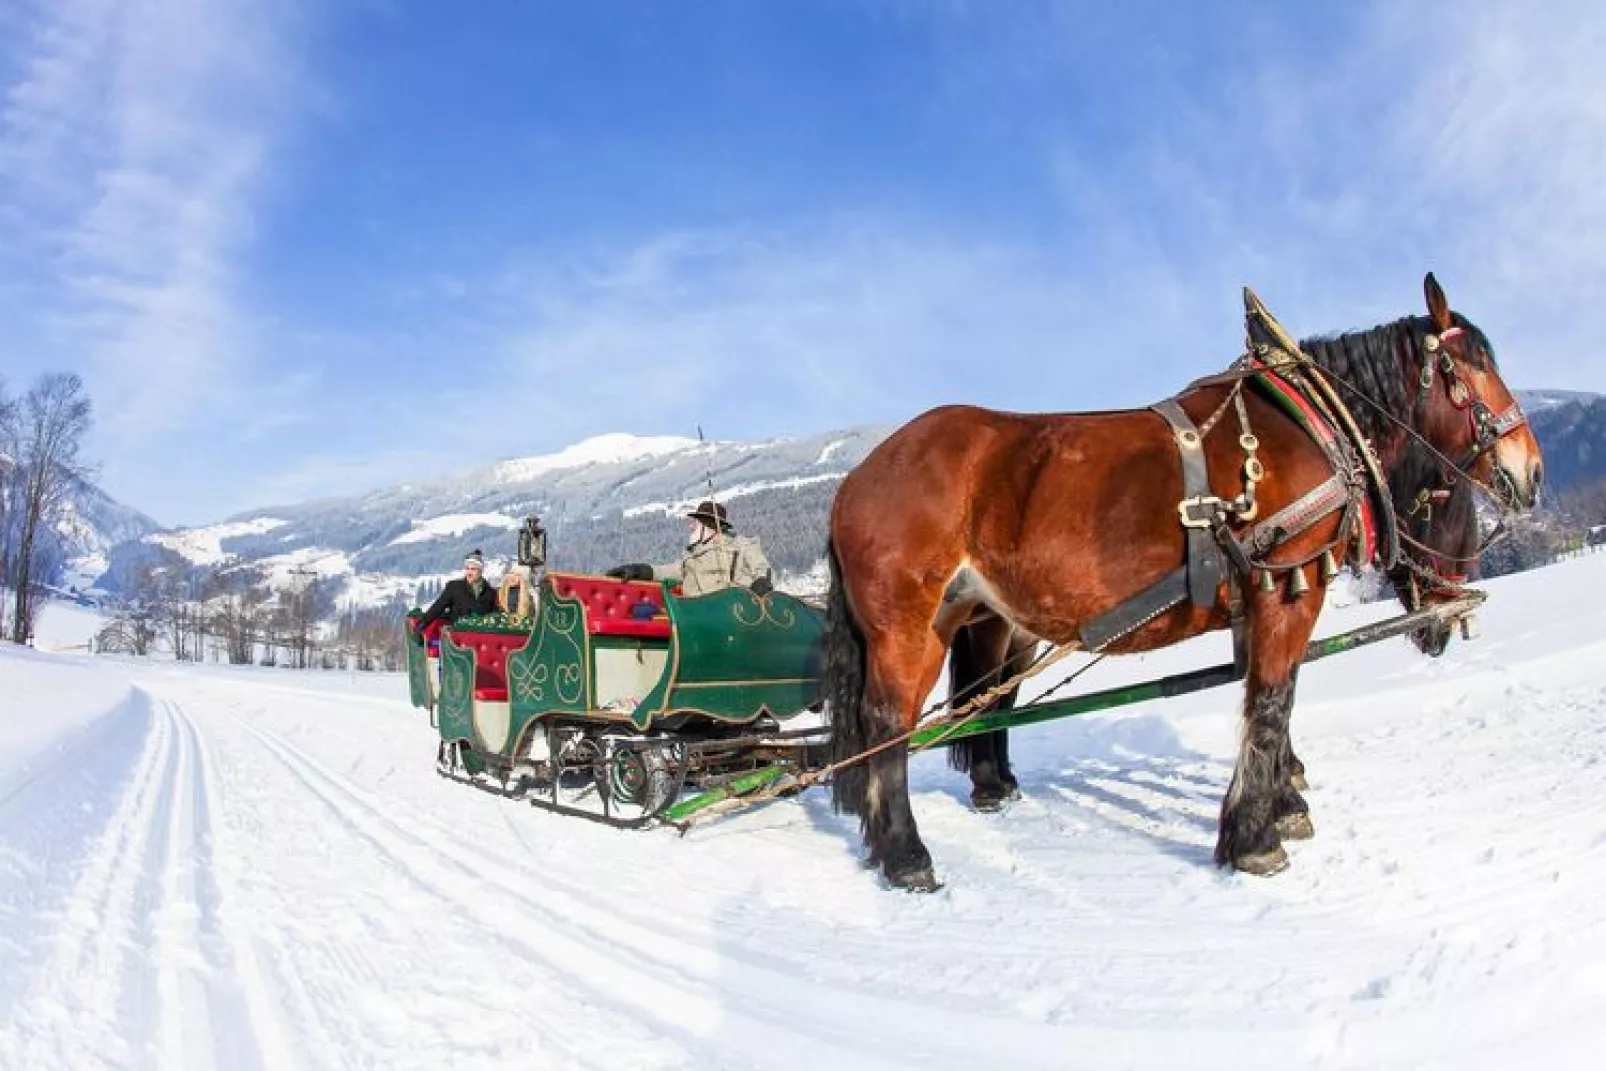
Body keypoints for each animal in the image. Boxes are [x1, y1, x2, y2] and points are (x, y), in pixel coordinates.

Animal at [828, 274, 1541, 886]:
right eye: (1474, 367)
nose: (1530, 471)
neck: (1310, 423)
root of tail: (857, 478)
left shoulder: (1263, 594)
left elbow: (1266, 698)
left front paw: (1282, 802)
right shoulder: (1288, 585)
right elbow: (1272, 702)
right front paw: (1255, 839)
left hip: (971, 619)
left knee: (969, 706)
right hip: (908, 627)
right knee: (887, 726)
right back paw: (905, 855)